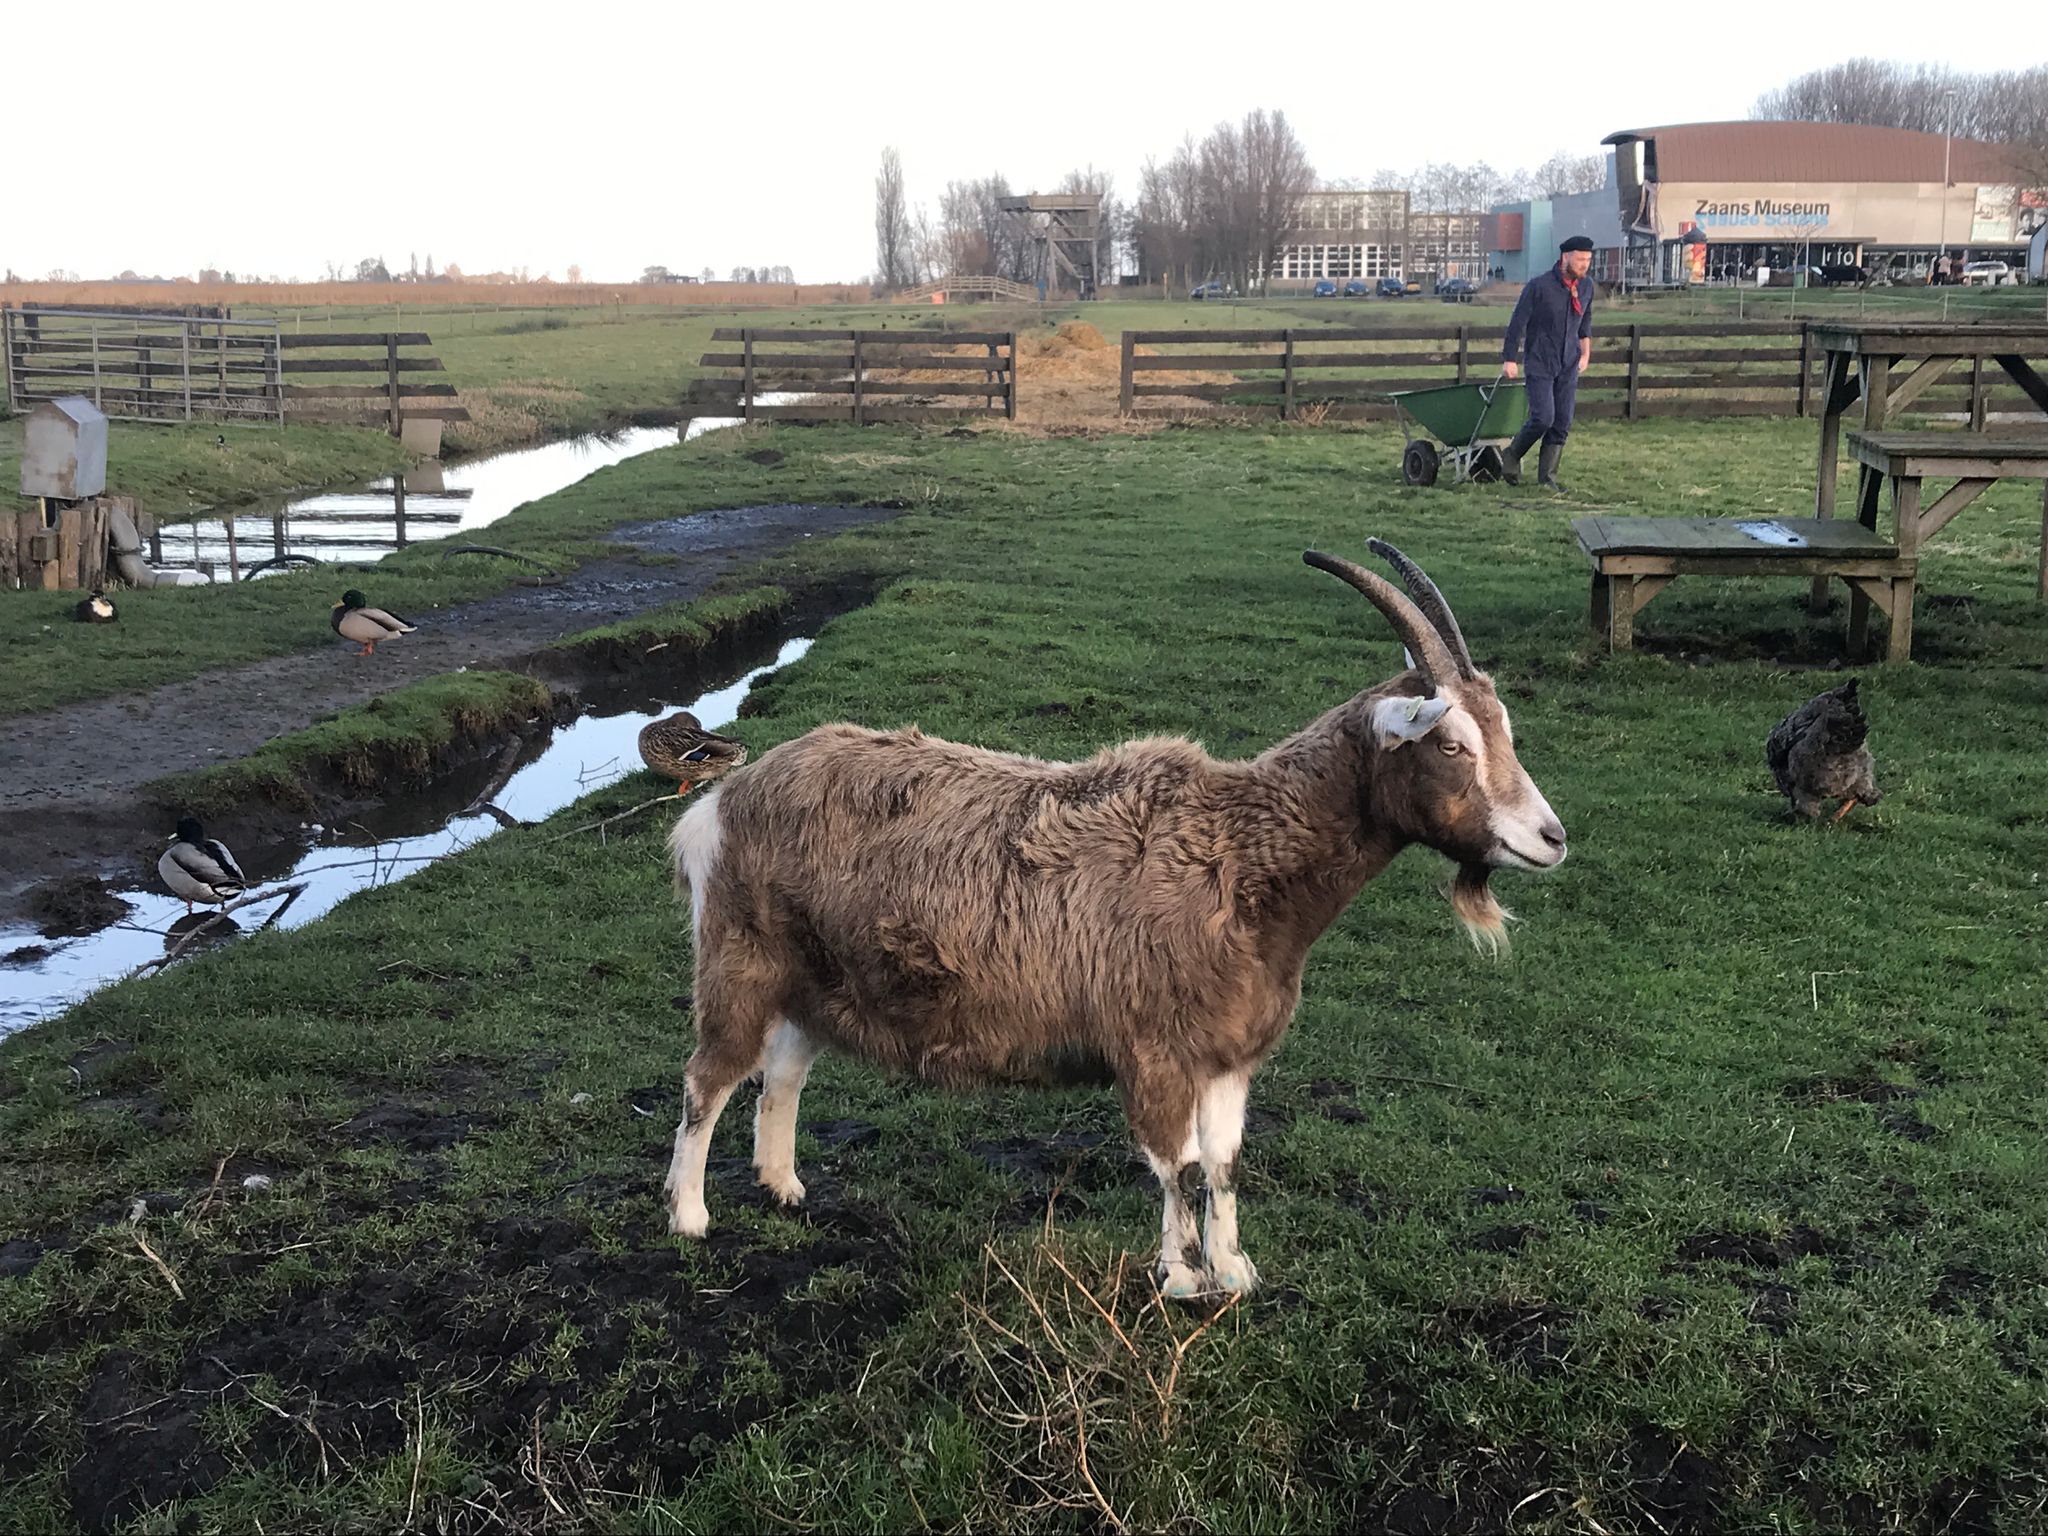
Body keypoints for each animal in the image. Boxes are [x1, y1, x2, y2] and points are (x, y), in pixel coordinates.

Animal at [664, 541, 1566, 1296]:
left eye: (1503, 731)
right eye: (1450, 744)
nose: (1551, 839)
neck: (1241, 859)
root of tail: (723, 803)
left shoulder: (1227, 1058)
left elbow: (1226, 1166)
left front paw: (1234, 1273)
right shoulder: (1154, 1049)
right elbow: (1178, 1167)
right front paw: (1184, 1282)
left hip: (817, 977)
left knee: (782, 1069)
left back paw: (784, 1186)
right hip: (740, 959)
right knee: (708, 1077)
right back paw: (690, 1214)